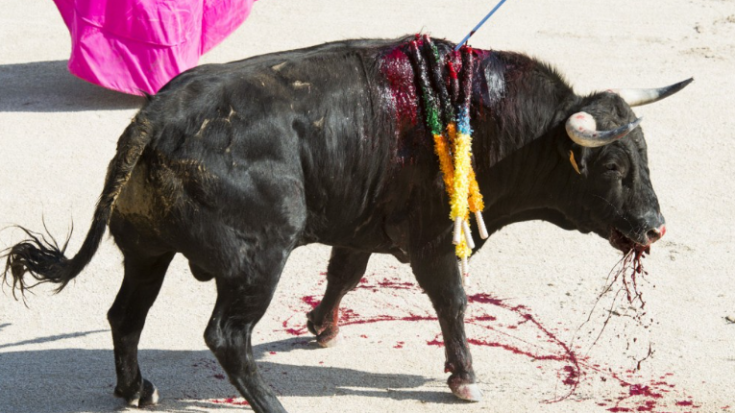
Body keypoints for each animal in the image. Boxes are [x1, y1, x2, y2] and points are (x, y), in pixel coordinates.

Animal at [1, 36, 688, 412]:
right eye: (615, 166)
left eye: (645, 157)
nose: (655, 228)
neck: (485, 116)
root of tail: (156, 115)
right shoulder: (433, 240)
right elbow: (452, 302)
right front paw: (464, 378)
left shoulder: (360, 227)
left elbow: (344, 274)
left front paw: (321, 327)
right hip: (256, 260)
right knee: (227, 335)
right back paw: (272, 405)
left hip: (147, 250)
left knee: (126, 314)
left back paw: (136, 390)